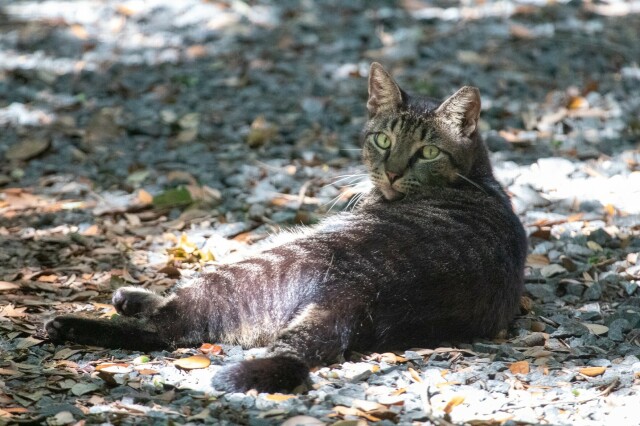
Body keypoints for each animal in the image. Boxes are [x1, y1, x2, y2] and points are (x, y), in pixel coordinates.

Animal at [45, 62, 528, 392]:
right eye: (383, 140)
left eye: (427, 152)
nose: (390, 173)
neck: (477, 176)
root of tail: (354, 296)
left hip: (261, 258)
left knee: (170, 327)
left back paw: (75, 322)